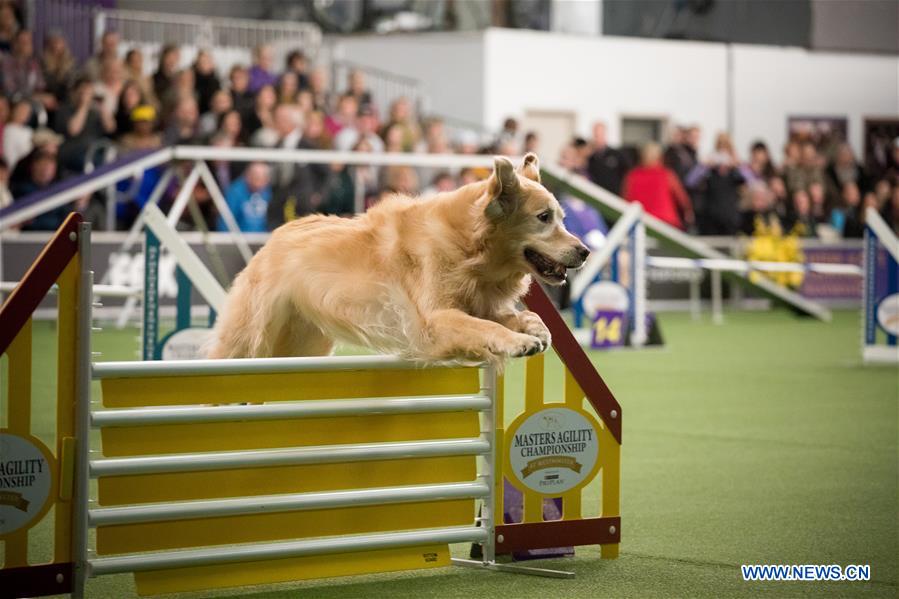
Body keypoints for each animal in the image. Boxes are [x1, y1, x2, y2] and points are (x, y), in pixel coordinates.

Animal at [208, 152, 596, 366]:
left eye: (562, 217)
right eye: (544, 218)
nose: (585, 251)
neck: (467, 248)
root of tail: (275, 237)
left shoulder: (481, 303)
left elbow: (515, 315)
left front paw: (535, 328)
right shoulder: (435, 319)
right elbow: (484, 327)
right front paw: (517, 341)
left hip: (304, 344)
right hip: (250, 340)